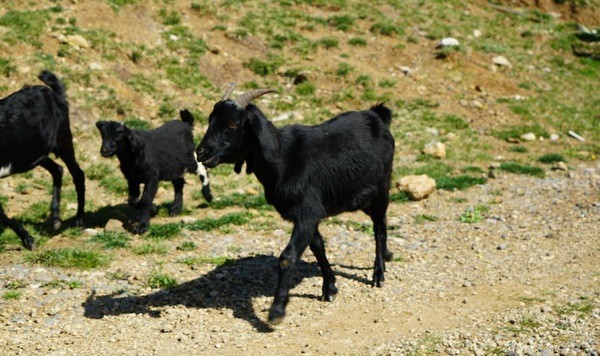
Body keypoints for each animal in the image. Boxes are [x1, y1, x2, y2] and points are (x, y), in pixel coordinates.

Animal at [0, 70, 86, 250]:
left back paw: (79, 220)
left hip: (63, 139)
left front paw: (29, 240)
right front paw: (27, 238)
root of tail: (54, 93)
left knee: (77, 173)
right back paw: (55, 219)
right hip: (35, 155)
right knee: (57, 169)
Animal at [195, 85, 396, 324]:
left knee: (379, 226)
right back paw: (386, 256)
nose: (201, 152)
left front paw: (276, 311)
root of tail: (376, 115)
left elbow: (287, 257)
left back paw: (378, 273)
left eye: (232, 125)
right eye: (210, 120)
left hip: (381, 186)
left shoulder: (307, 212)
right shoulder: (308, 214)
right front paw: (330, 288)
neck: (283, 160)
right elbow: (317, 246)